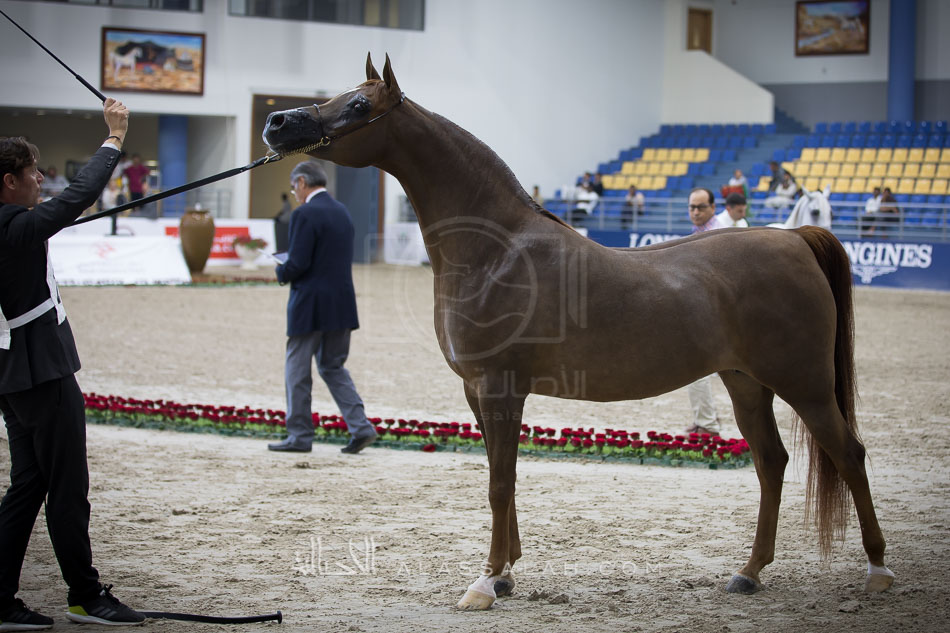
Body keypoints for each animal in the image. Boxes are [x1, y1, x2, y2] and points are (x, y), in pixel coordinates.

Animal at [262, 54, 894, 610]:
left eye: (359, 104)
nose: (277, 122)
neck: (497, 251)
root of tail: (793, 240)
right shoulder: (477, 392)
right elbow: (503, 476)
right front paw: (506, 573)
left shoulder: (499, 387)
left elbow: (499, 483)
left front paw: (485, 583)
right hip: (745, 383)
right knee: (771, 462)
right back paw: (750, 573)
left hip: (805, 384)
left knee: (849, 453)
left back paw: (877, 572)